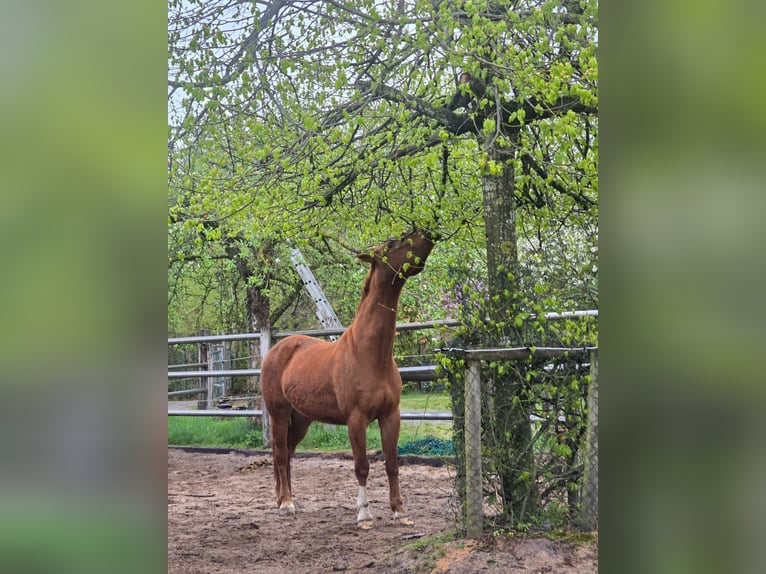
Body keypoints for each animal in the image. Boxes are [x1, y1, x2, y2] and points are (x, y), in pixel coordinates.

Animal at [260, 230, 435, 529]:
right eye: (392, 243)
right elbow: (361, 466)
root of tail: (277, 349)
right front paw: (364, 514)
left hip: (302, 419)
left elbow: (392, 464)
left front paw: (399, 511)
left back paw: (286, 498)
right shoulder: (356, 419)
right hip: (279, 414)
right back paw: (286, 504)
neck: (370, 354)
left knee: (288, 455)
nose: (428, 233)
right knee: (281, 455)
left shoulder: (391, 416)